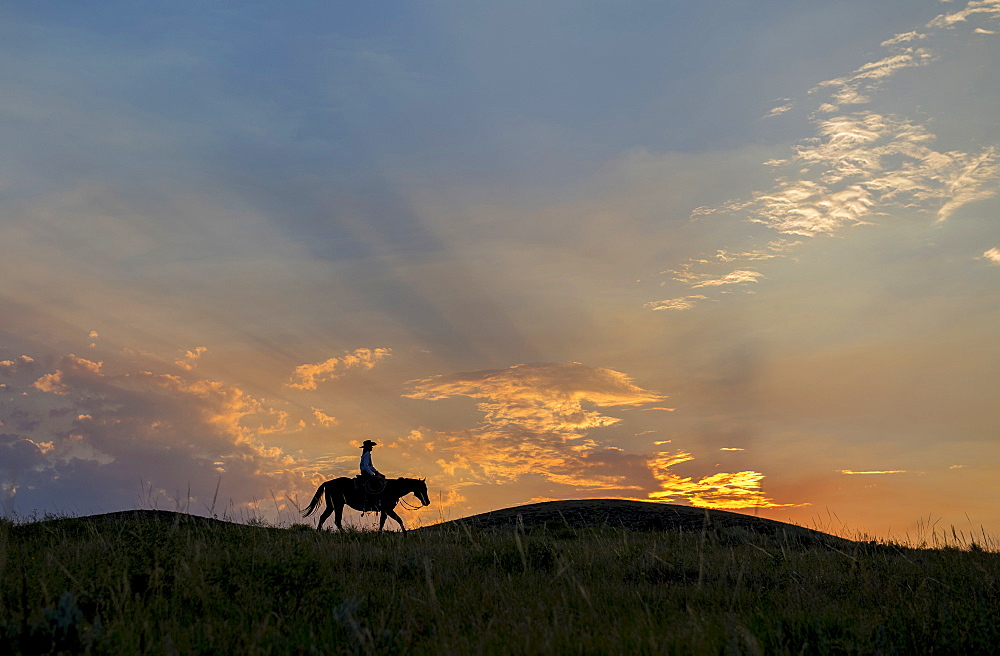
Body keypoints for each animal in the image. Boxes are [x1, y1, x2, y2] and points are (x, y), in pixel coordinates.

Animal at [302, 480, 432, 536]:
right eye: (423, 488)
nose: (427, 502)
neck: (393, 488)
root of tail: (327, 483)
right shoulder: (388, 509)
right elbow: (398, 519)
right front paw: (404, 534)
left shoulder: (385, 510)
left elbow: (384, 521)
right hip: (337, 505)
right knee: (335, 520)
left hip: (333, 506)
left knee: (324, 518)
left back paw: (319, 533)